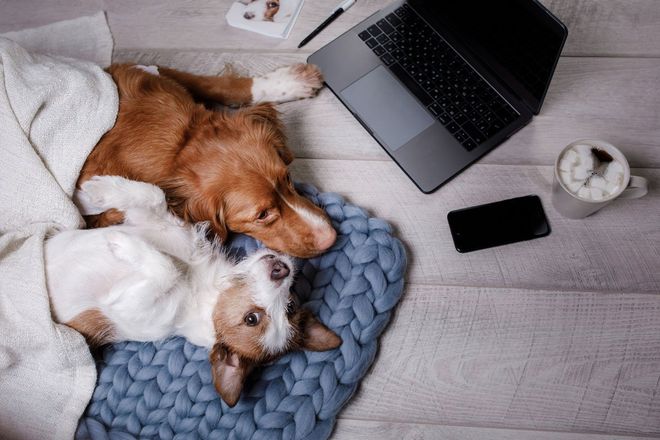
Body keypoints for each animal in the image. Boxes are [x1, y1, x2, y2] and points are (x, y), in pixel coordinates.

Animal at [45, 175, 340, 406]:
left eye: (251, 319)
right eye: (290, 305)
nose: (283, 270)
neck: (199, 285)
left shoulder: (129, 307)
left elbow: (165, 268)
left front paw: (122, 242)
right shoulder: (158, 224)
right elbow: (153, 194)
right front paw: (97, 188)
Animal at [80, 63, 338, 260]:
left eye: (288, 177)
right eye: (262, 215)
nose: (331, 238)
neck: (180, 144)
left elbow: (214, 84)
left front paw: (288, 82)